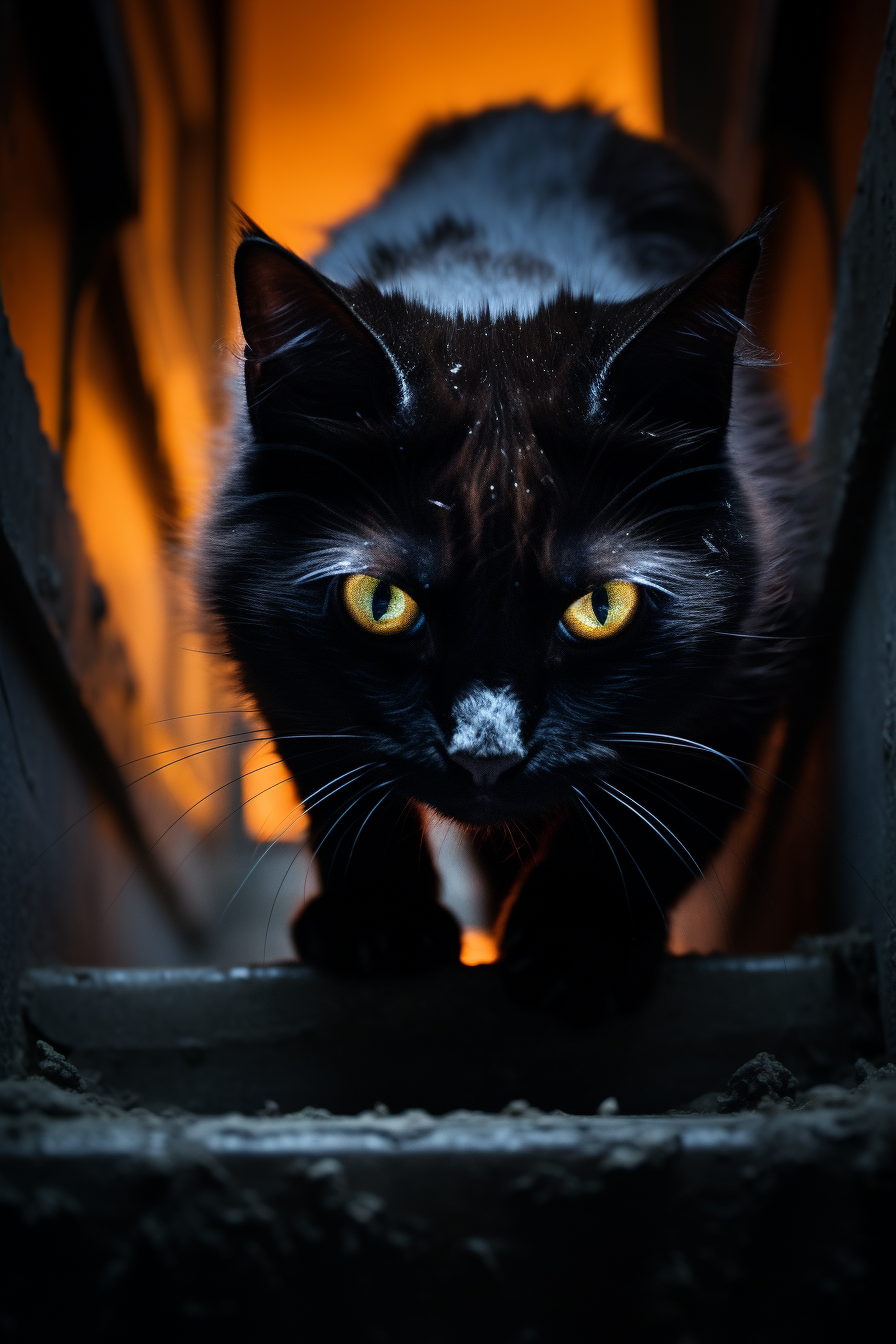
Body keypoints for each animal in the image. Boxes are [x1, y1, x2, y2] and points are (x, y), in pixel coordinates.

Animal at [205, 104, 811, 1016]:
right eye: (379, 602)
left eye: (602, 608)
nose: (485, 755)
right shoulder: (273, 651)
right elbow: (343, 793)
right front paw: (378, 926)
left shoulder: (750, 650)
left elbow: (662, 812)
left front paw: (578, 947)